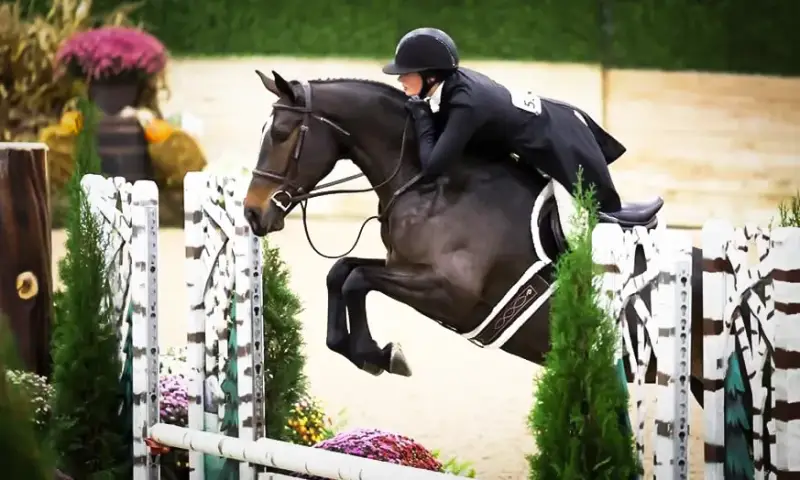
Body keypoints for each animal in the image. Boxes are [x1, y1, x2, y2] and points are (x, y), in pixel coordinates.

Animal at [242, 70, 706, 407]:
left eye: (280, 134)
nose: (252, 212)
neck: (433, 185)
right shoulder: (403, 267)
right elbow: (341, 272)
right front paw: (366, 351)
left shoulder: (452, 293)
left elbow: (356, 280)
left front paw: (381, 355)